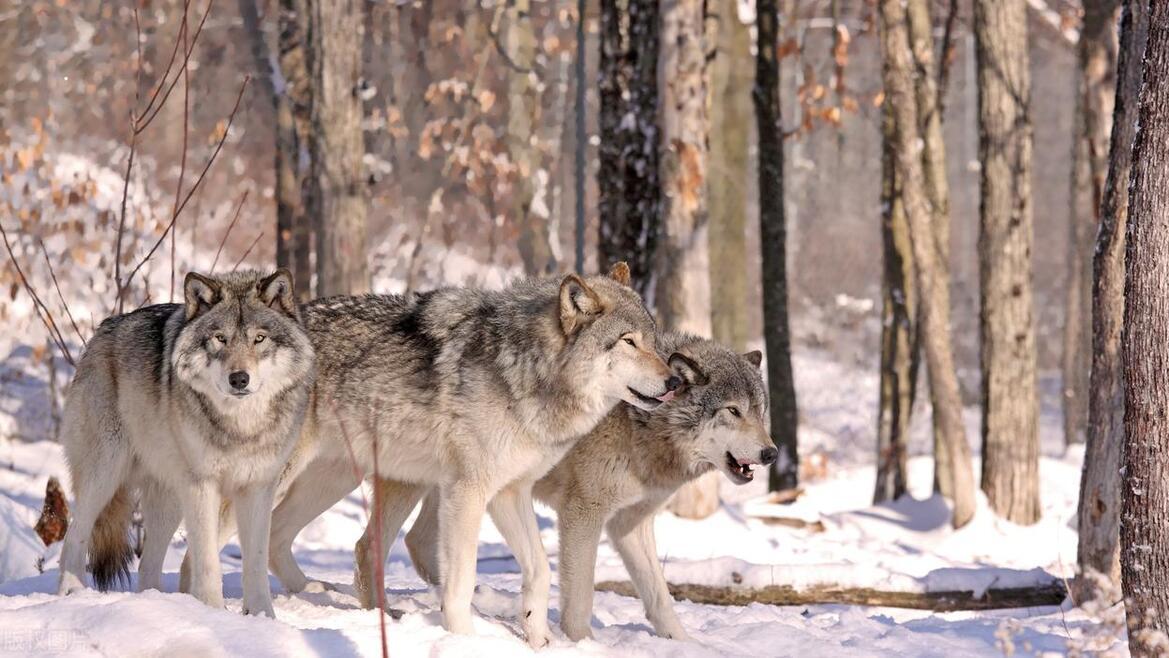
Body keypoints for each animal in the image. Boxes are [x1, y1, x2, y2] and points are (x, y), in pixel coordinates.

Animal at [56, 267, 313, 617]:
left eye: (259, 339)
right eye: (221, 338)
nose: (239, 379)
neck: (240, 425)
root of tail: (103, 330)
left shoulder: (258, 488)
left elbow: (256, 563)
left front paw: (262, 617)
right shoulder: (202, 485)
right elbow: (207, 562)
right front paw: (215, 613)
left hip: (170, 499)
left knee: (148, 565)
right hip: (105, 475)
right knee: (74, 536)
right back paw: (71, 593)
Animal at [231, 264, 673, 649]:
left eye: (653, 340)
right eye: (628, 341)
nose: (673, 381)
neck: (524, 369)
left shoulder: (510, 492)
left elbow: (540, 568)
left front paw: (540, 640)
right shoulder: (468, 492)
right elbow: (461, 581)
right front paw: (464, 639)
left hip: (352, 482)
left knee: (294, 537)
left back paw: (325, 597)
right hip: (277, 478)